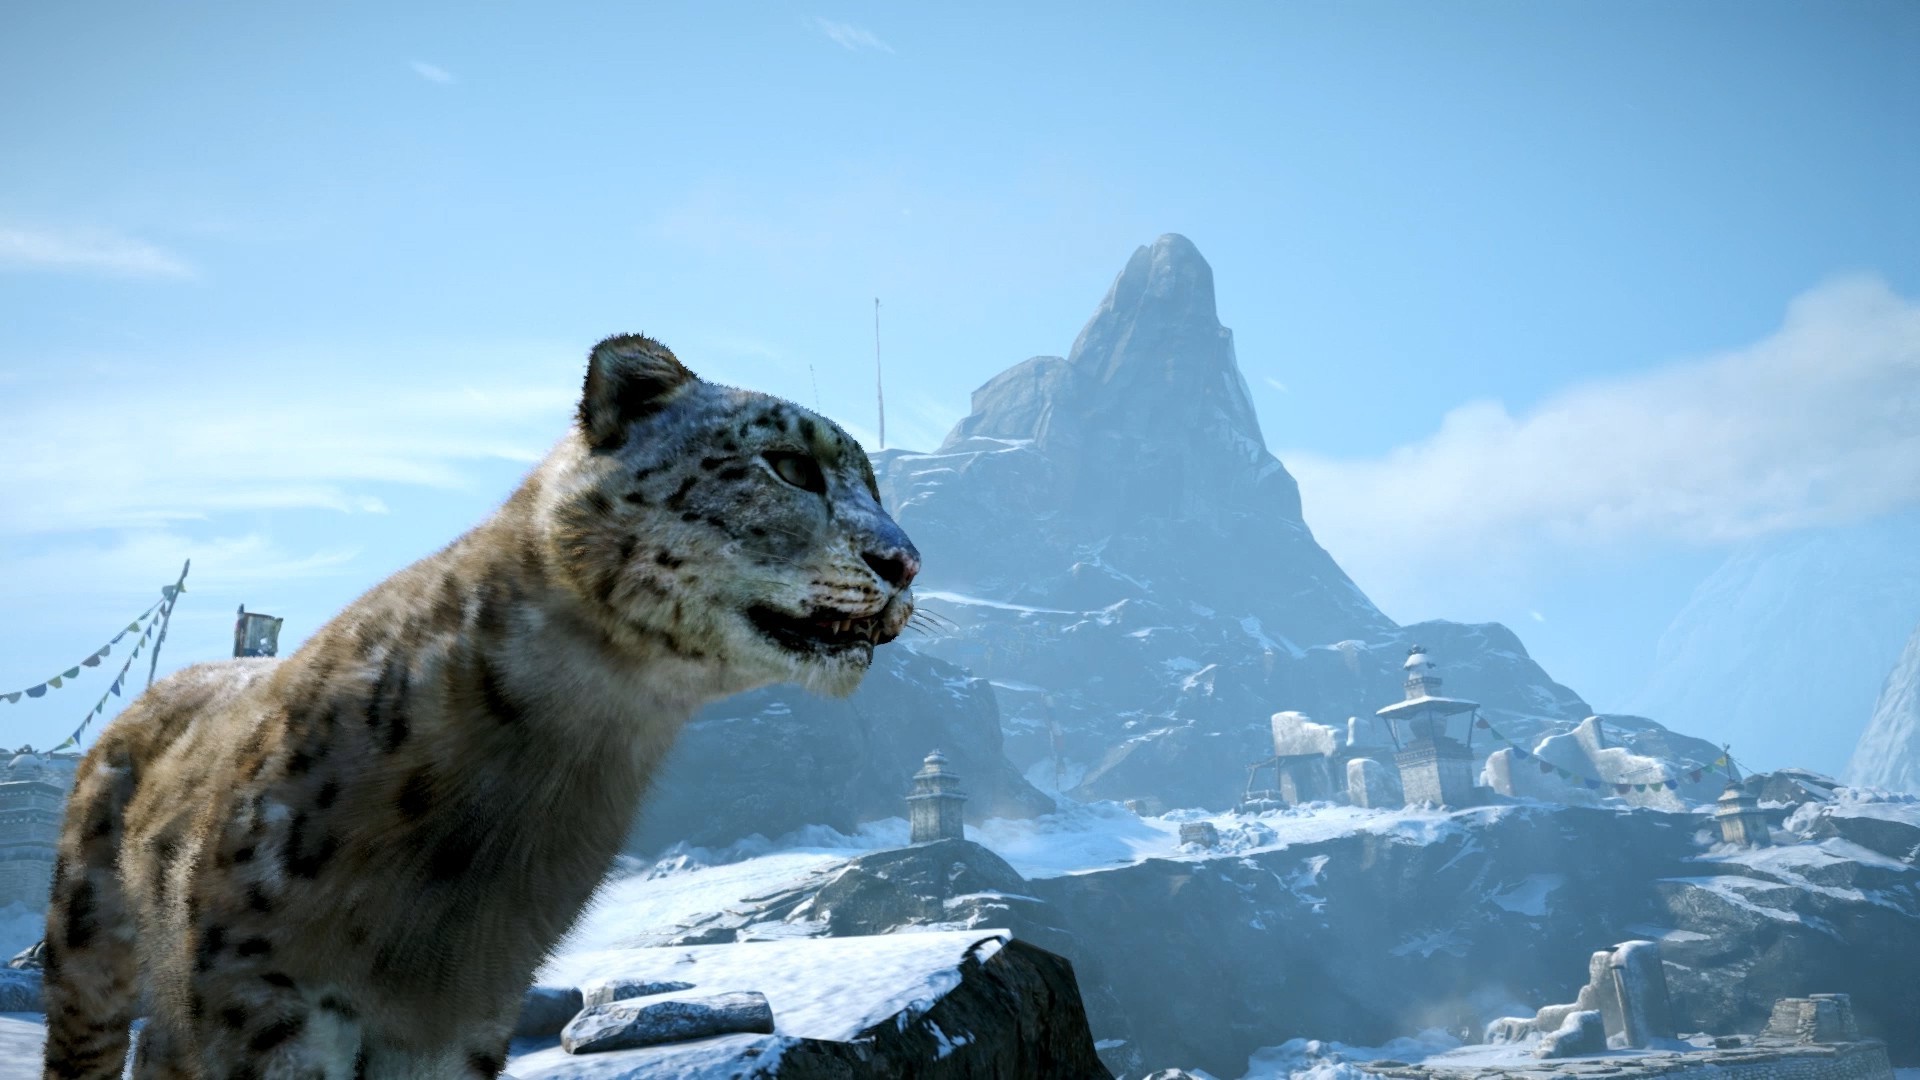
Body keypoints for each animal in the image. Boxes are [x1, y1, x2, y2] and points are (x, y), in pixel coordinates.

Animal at [40, 334, 919, 1079]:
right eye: (788, 466)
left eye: (876, 486)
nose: (905, 561)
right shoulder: (263, 991)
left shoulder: (467, 1013)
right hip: (90, 960)